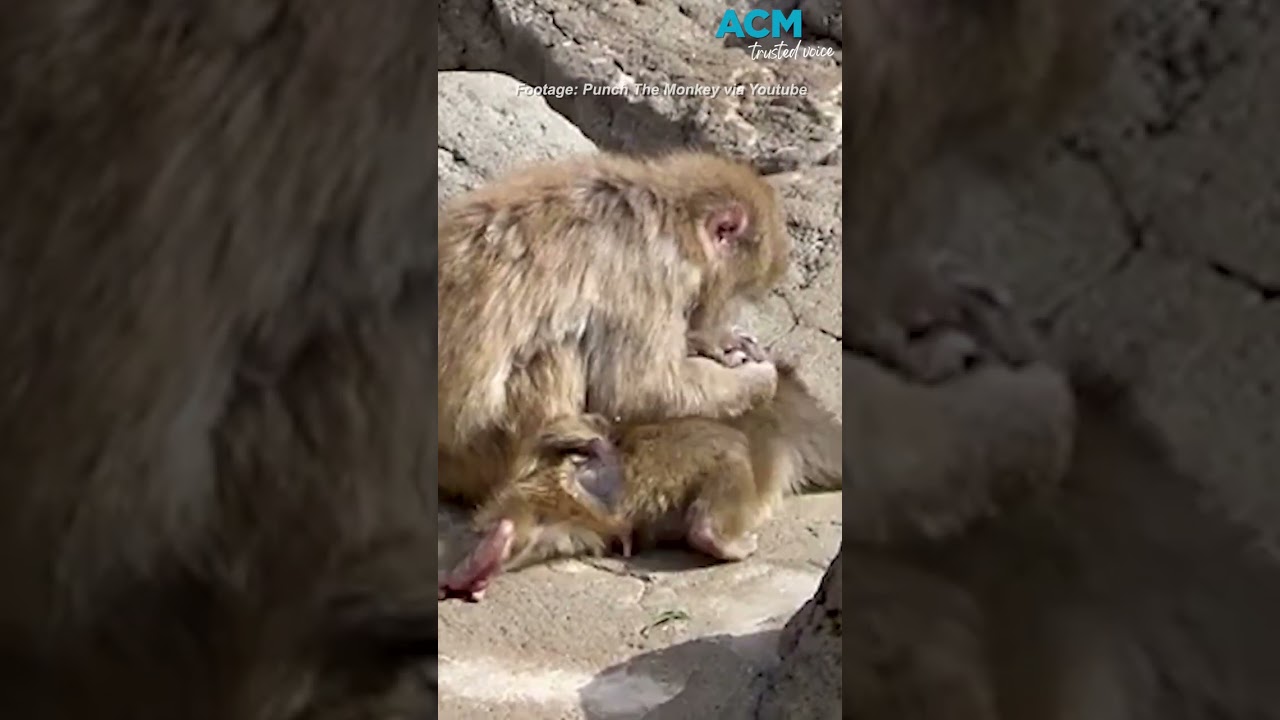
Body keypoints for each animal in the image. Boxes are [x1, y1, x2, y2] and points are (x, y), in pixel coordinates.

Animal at [437, 150, 792, 506]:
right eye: (739, 293)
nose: (722, 318)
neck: (671, 216)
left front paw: (721, 344)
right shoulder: (650, 272)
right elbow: (641, 389)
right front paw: (761, 378)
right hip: (490, 450)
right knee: (561, 345)